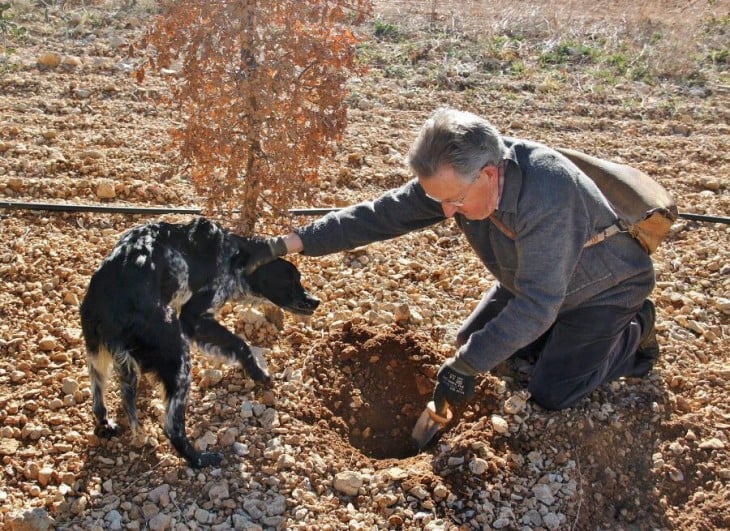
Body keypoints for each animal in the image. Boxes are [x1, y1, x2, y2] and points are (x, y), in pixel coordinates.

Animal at [80, 218, 318, 468]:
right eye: (290, 279)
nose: (316, 301)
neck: (235, 255)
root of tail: (109, 308)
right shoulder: (193, 317)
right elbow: (239, 344)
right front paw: (257, 372)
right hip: (179, 355)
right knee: (172, 427)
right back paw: (200, 459)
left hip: (96, 356)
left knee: (98, 403)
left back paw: (106, 425)